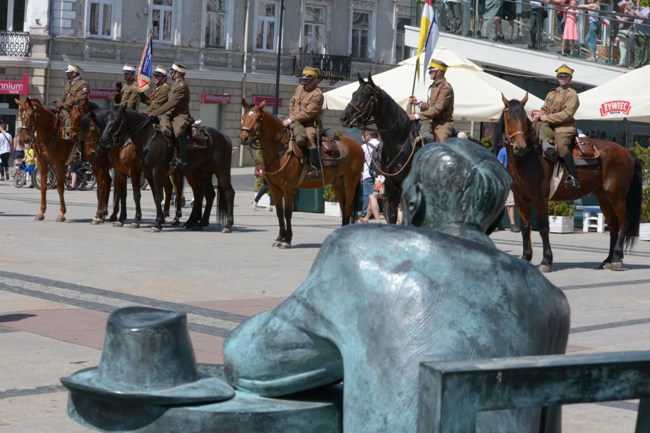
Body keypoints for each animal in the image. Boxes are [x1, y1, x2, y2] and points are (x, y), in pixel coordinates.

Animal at [100, 106, 234, 231]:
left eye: (117, 119)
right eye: (106, 119)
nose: (104, 140)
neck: (147, 137)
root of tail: (225, 136)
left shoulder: (147, 172)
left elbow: (148, 195)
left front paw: (154, 222)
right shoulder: (140, 173)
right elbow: (140, 195)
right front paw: (123, 219)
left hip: (220, 170)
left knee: (228, 192)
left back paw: (227, 225)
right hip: (202, 172)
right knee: (206, 194)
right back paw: (198, 222)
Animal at [240, 98, 364, 246]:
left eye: (258, 119)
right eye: (243, 117)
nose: (244, 138)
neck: (280, 149)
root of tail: (358, 146)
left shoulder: (288, 187)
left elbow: (288, 213)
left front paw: (287, 240)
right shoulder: (274, 188)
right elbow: (279, 213)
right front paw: (279, 238)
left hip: (351, 182)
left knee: (348, 208)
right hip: (338, 183)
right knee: (344, 207)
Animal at [336, 73, 422, 223]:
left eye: (366, 95)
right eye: (353, 94)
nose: (344, 118)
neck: (399, 142)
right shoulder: (392, 188)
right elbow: (393, 216)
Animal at [496, 94, 636, 270]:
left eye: (523, 117)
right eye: (508, 117)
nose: (520, 147)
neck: (529, 157)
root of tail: (627, 152)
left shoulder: (540, 199)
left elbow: (543, 228)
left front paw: (546, 260)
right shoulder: (520, 199)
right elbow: (525, 227)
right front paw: (526, 257)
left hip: (616, 196)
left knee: (624, 221)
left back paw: (616, 259)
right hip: (603, 197)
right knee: (613, 225)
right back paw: (608, 259)